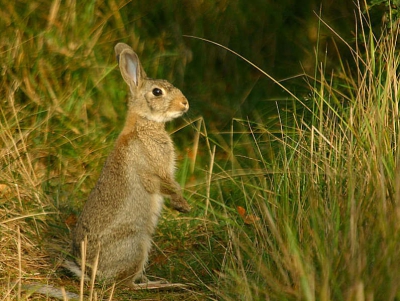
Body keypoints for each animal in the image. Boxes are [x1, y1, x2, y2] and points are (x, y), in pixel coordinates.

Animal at [69, 42, 191, 284]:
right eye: (157, 92)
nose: (185, 103)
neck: (144, 123)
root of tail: (93, 272)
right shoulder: (156, 169)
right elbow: (168, 186)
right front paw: (183, 206)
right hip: (138, 243)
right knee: (125, 284)